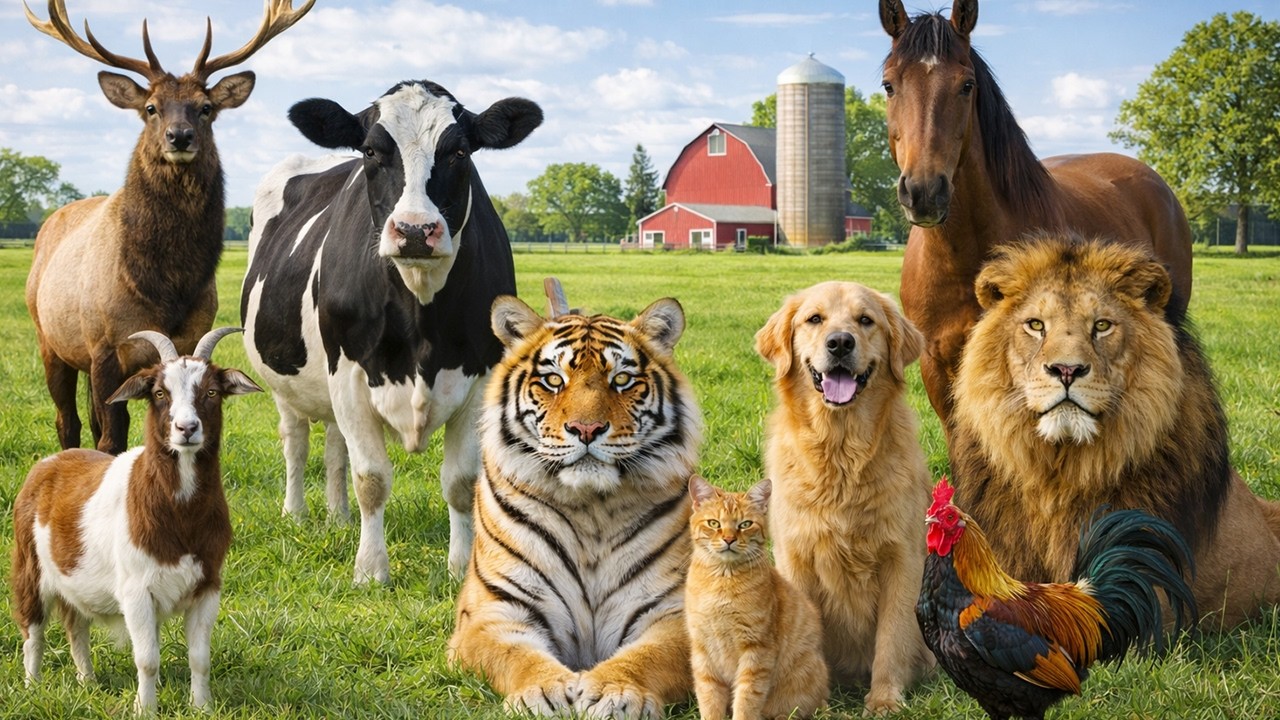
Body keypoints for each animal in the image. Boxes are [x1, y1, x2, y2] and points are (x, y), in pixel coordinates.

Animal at [10, 327, 261, 713]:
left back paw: (88, 682)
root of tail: (48, 463)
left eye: (211, 392)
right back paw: (32, 686)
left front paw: (201, 707)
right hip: (30, 566)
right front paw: (146, 709)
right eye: (159, 393)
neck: (180, 516)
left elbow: (200, 658)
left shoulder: (208, 586)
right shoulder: (136, 590)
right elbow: (147, 658)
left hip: (74, 580)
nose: (186, 428)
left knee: (76, 626)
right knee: (33, 630)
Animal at [23, 0, 312, 454]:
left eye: (205, 107)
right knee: (67, 421)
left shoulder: (192, 338)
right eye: (151, 107)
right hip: (48, 338)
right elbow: (112, 437)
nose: (180, 136)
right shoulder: (104, 346)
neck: (163, 286)